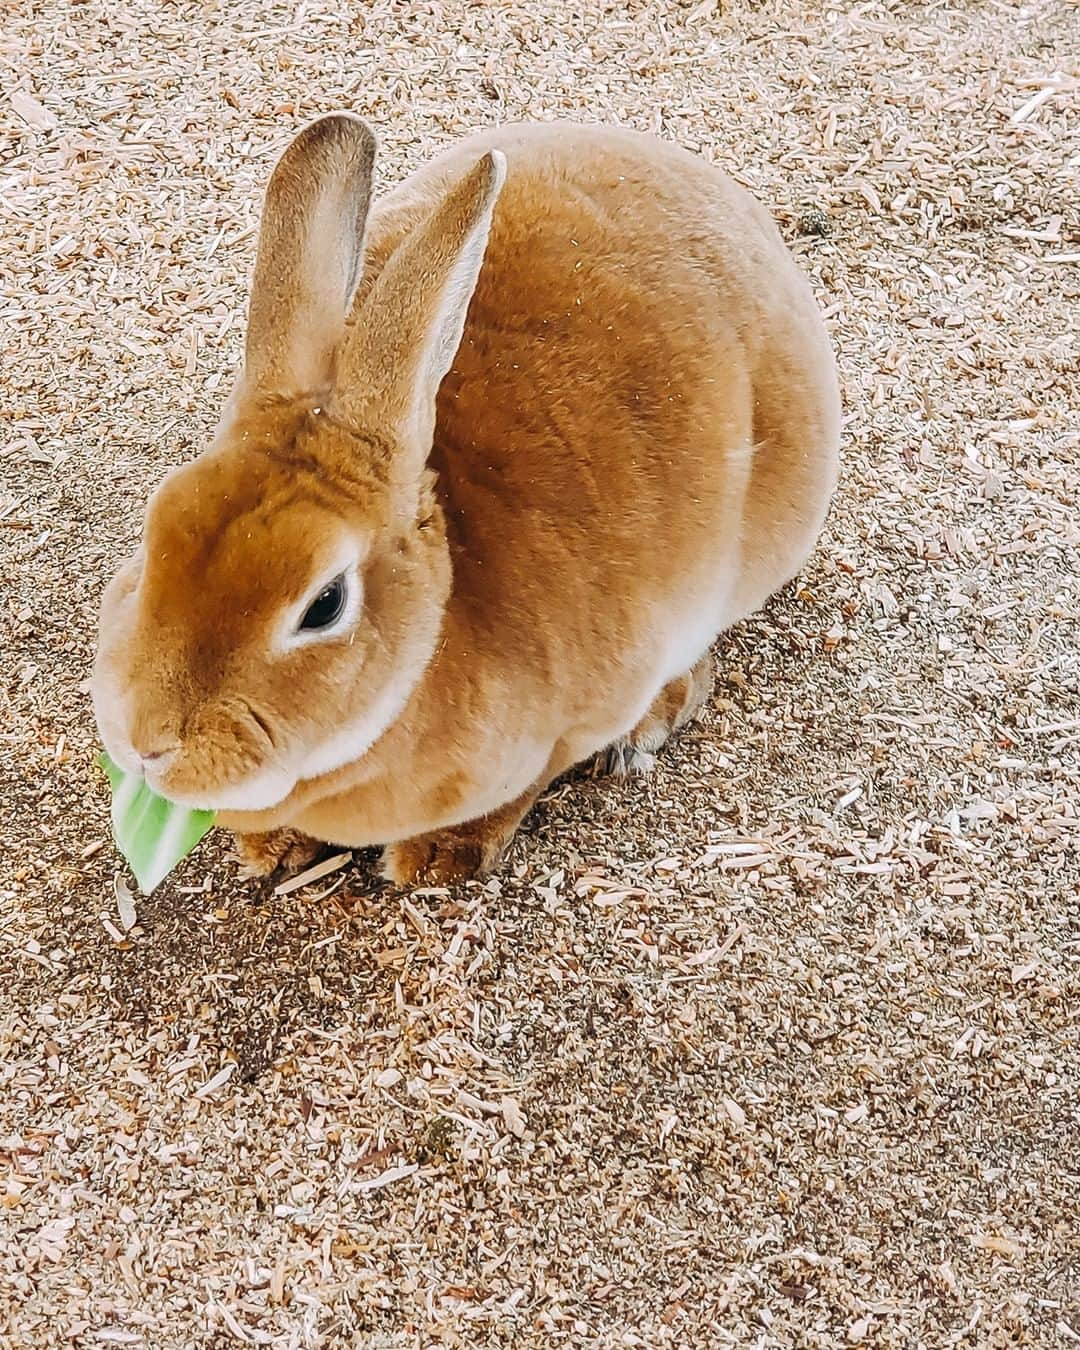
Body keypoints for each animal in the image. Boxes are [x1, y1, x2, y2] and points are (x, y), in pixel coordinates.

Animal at [90, 116, 842, 885]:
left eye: (324, 604)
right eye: (153, 537)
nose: (149, 744)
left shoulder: (578, 717)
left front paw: (439, 857)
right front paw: (273, 848)